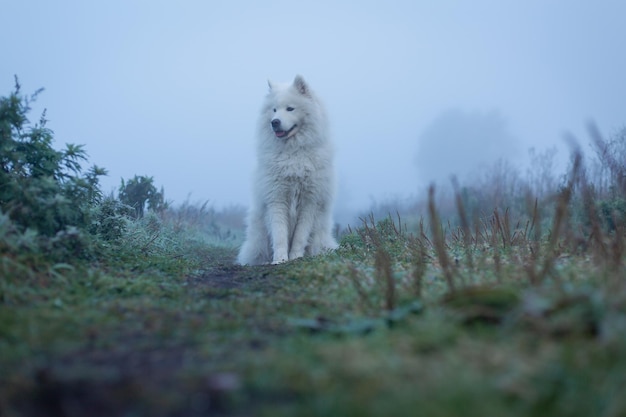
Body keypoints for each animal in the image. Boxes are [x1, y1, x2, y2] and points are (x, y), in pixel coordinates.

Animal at [236, 75, 336, 264]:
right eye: (274, 110)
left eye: (290, 108)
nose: (274, 122)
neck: (293, 153)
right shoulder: (277, 198)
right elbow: (279, 234)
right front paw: (280, 260)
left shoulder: (309, 201)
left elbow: (299, 237)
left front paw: (295, 257)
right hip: (259, 236)